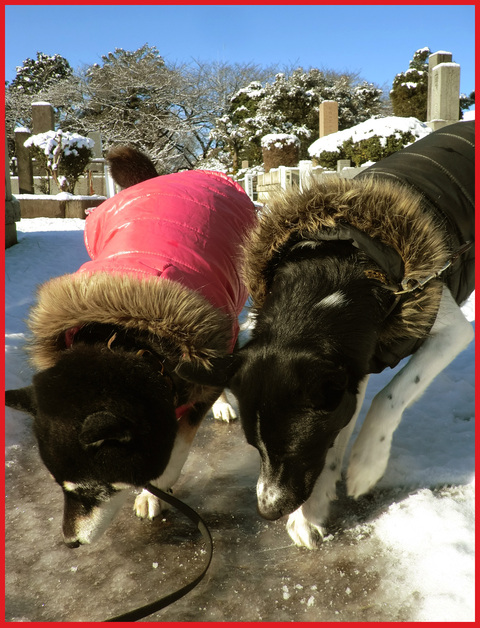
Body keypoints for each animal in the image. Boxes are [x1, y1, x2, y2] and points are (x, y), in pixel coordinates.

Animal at [178, 119, 474, 548]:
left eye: (297, 448)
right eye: (254, 446)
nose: (266, 511)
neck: (334, 278)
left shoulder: (448, 331)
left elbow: (389, 396)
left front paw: (366, 463)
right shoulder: (357, 364)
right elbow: (342, 424)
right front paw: (312, 509)